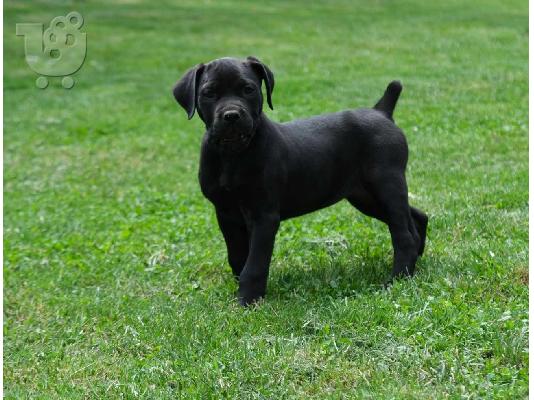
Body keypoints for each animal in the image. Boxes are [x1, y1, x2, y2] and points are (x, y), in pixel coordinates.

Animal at [174, 57, 430, 306]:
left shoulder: (264, 216)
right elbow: (237, 257)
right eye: (209, 93)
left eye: (248, 89)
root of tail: (382, 112)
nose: (231, 116)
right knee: (417, 217)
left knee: (403, 236)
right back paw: (417, 261)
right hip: (366, 197)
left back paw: (397, 279)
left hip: (386, 184)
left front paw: (248, 301)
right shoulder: (226, 214)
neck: (233, 154)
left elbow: (255, 264)